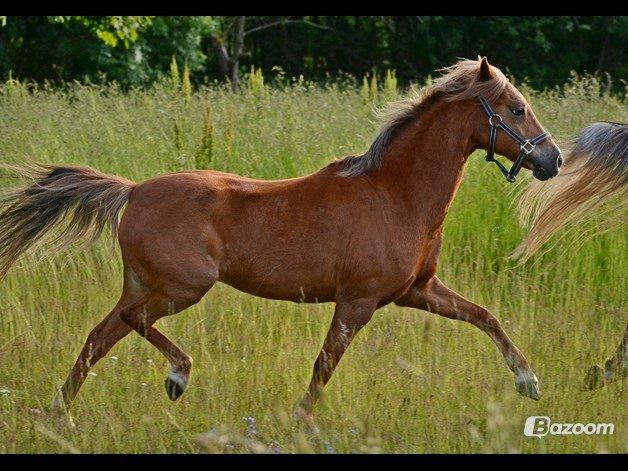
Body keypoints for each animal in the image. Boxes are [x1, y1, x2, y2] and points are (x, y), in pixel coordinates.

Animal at [0, 57, 564, 422]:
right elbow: (323, 367)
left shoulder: (417, 291)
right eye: (516, 109)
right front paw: (298, 423)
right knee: (130, 324)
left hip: (146, 285)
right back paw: (177, 377)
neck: (396, 194)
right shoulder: (357, 302)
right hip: (182, 288)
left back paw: (58, 416)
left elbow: (485, 316)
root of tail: (133, 191)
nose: (552, 159)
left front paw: (529, 382)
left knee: (99, 338)